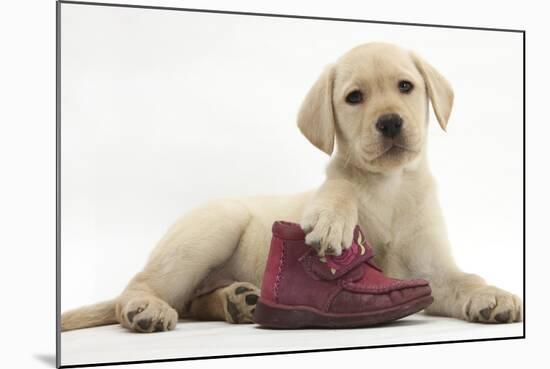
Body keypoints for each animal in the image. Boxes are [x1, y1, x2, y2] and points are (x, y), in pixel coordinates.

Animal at [62, 42, 524, 330]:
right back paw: (147, 308)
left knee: (192, 301)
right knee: (145, 287)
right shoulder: (337, 187)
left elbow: (464, 278)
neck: (389, 186)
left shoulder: (430, 271)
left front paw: (491, 295)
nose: (391, 122)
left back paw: (239, 301)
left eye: (406, 86)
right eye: (354, 97)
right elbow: (339, 186)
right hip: (212, 227)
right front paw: (334, 221)